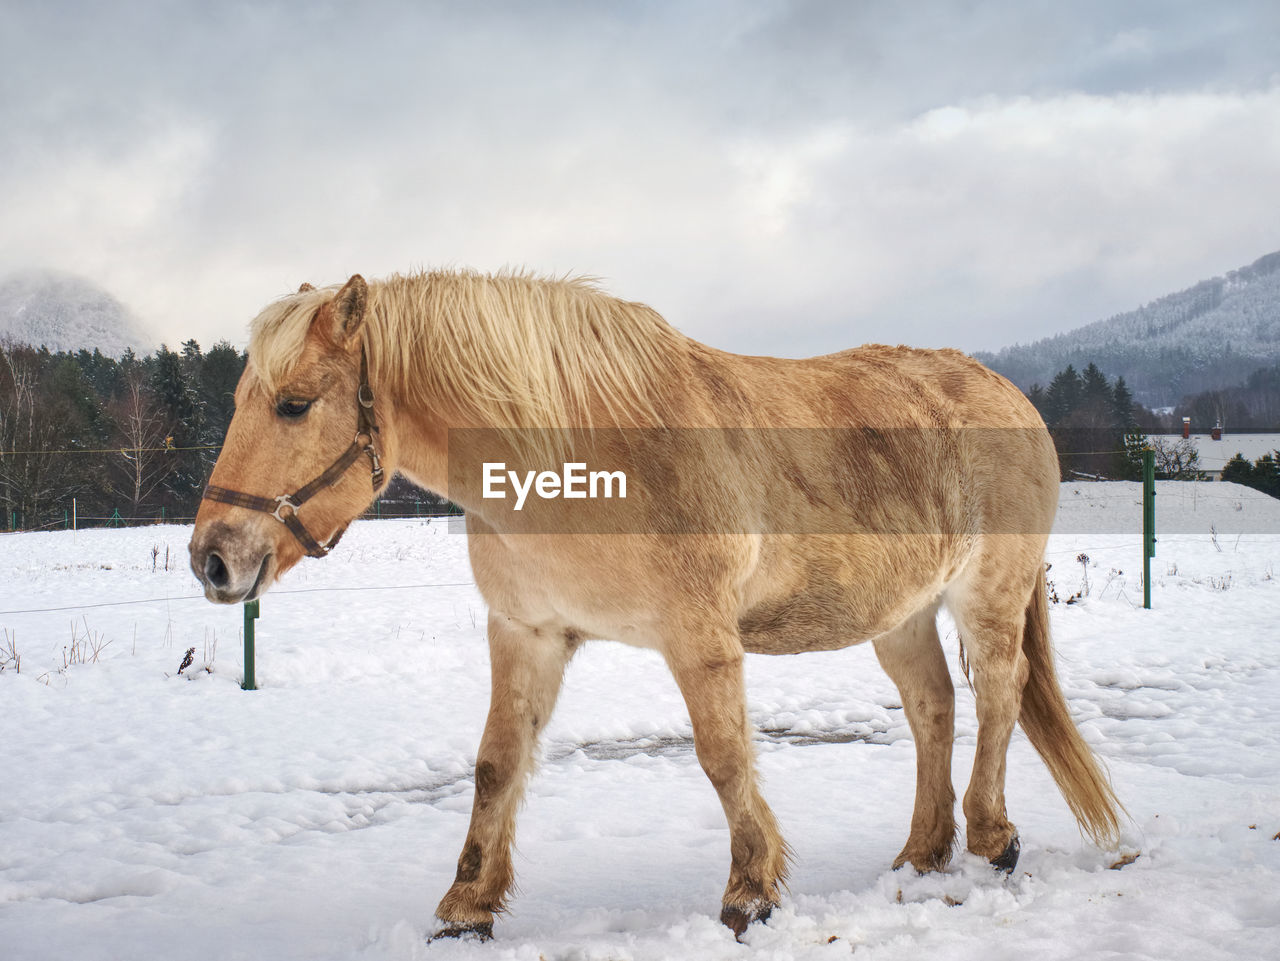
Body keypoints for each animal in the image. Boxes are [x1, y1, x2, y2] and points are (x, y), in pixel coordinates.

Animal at [189, 268, 1121, 941]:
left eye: (295, 404)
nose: (212, 558)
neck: (573, 452)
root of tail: (1008, 393)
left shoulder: (697, 634)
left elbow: (723, 757)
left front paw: (750, 891)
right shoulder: (526, 633)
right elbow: (496, 764)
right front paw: (466, 907)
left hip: (986, 594)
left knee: (1000, 693)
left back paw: (992, 838)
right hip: (903, 613)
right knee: (934, 707)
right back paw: (921, 856)